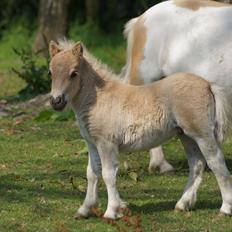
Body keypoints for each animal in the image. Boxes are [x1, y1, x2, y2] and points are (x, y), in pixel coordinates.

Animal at [49, 40, 232, 219]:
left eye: (74, 73)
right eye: (50, 73)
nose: (56, 101)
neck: (98, 99)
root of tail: (208, 84)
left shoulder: (107, 143)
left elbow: (108, 174)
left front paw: (112, 211)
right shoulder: (92, 143)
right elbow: (92, 174)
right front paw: (85, 209)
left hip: (202, 134)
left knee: (216, 162)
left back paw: (225, 208)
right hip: (186, 136)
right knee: (197, 164)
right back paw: (182, 204)